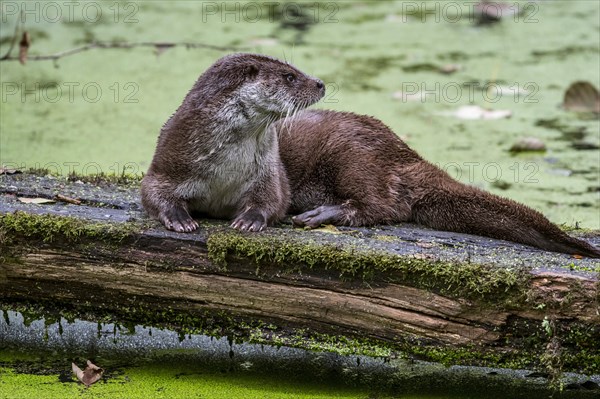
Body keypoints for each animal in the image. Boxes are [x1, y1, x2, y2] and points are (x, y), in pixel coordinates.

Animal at [141, 54, 326, 234]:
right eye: (289, 77)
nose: (320, 83)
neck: (225, 172)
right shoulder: (169, 160)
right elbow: (151, 191)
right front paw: (179, 218)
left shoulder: (269, 171)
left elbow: (273, 200)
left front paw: (250, 219)